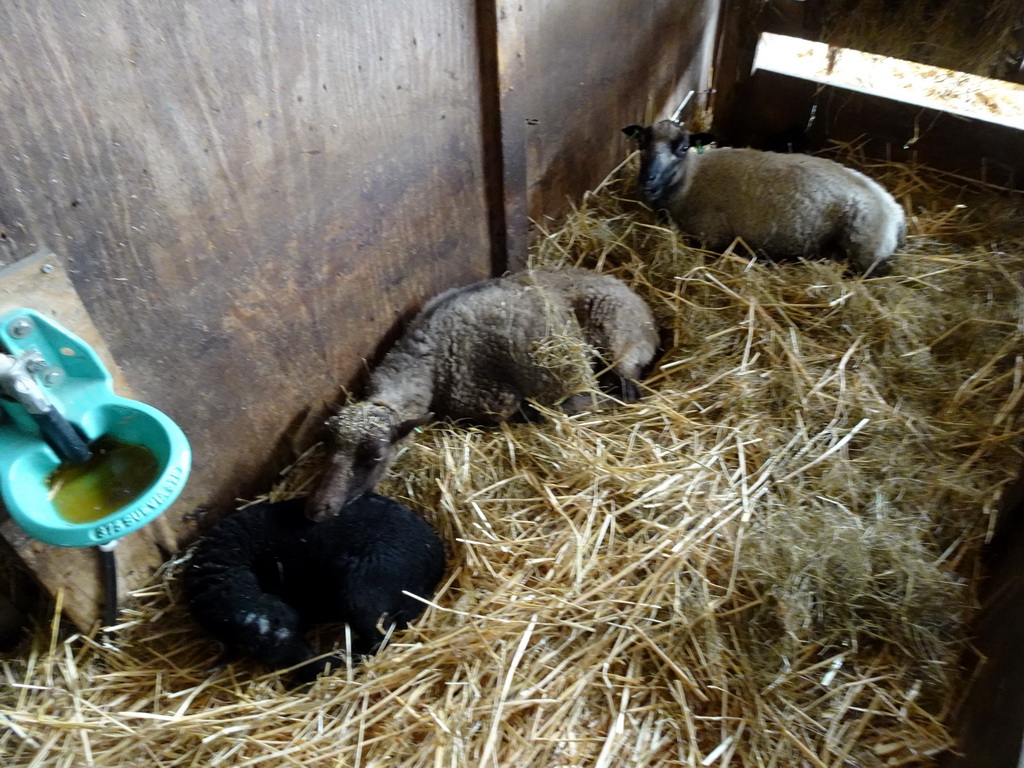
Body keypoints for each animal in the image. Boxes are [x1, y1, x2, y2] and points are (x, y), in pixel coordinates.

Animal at [305, 266, 655, 524]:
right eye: (327, 443)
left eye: (376, 455)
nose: (319, 509)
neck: (429, 361)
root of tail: (641, 305)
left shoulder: (494, 399)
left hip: (616, 337)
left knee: (625, 391)